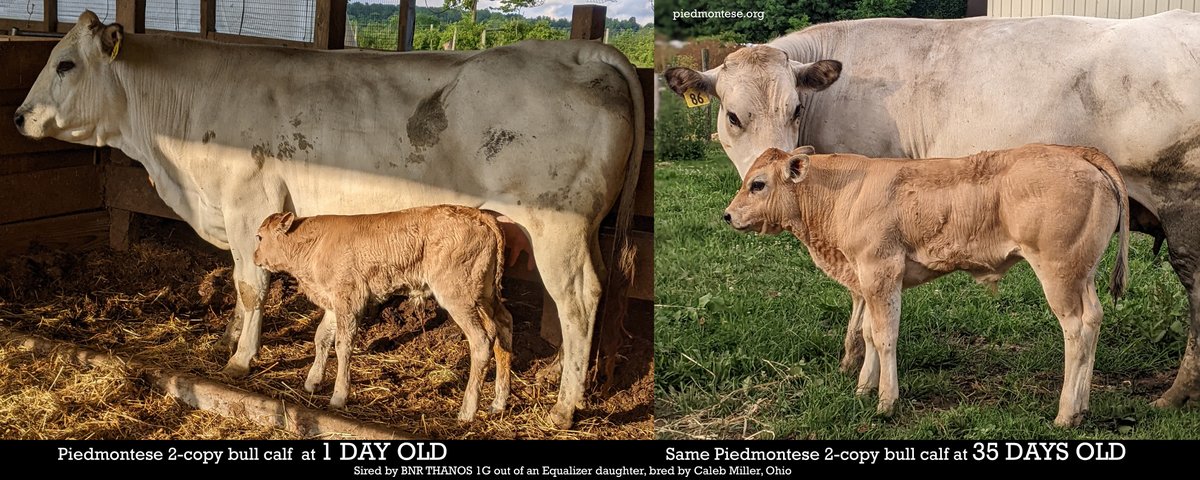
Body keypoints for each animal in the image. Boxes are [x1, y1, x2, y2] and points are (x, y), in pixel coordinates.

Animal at [252, 206, 512, 421]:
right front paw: (313, 381)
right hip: (484, 294)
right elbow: (321, 337)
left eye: (259, 236)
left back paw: (467, 411)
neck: (313, 247)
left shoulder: (349, 298)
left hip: (458, 294)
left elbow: (343, 345)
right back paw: (498, 402)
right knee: (503, 326)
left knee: (481, 340)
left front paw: (339, 396)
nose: (254, 257)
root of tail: (479, 215)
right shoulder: (333, 302)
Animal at [724, 145, 1130, 426]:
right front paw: (863, 388)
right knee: (1093, 320)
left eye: (758, 184)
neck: (843, 194)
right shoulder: (871, 279)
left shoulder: (880, 270)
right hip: (1082, 274)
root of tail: (1076, 151)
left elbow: (884, 336)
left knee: (1075, 331)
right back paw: (1083, 406)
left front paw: (886, 402)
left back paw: (1066, 412)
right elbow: (869, 332)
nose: (727, 215)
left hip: (1058, 274)